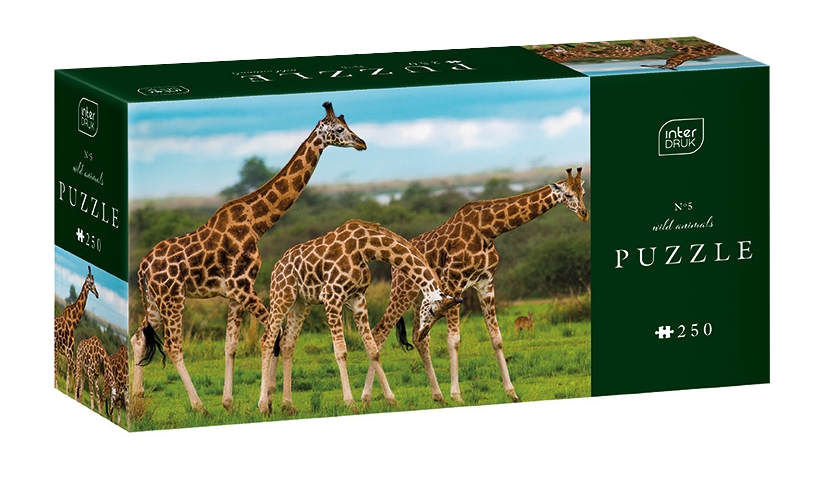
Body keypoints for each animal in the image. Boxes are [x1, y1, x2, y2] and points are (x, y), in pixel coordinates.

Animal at [55, 265, 99, 394]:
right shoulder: (66, 352)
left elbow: (69, 378)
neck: (73, 323)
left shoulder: (68, 353)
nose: (97, 294)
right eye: (92, 283)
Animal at [131, 102, 367, 413]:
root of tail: (143, 268)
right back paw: (198, 406)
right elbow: (273, 336)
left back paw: (135, 399)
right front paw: (266, 401)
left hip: (154, 301)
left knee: (139, 337)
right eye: (339, 129)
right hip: (173, 298)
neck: (257, 223)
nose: (362, 143)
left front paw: (231, 402)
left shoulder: (234, 292)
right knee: (172, 344)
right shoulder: (243, 286)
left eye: (348, 126)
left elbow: (232, 345)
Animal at [257, 220, 462, 414]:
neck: (365, 248)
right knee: (267, 340)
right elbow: (341, 351)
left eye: (440, 315)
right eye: (432, 311)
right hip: (282, 296)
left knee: (286, 343)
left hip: (300, 303)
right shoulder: (332, 296)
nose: (422, 334)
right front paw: (350, 404)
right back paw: (262, 406)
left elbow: (373, 349)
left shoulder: (358, 299)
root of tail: (276, 267)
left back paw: (287, 405)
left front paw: (391, 400)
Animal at [362, 168, 588, 404]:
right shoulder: (455, 282)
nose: (584, 213)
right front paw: (457, 395)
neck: (487, 229)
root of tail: (392, 267)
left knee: (419, 338)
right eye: (568, 195)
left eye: (583, 192)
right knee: (379, 332)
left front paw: (512, 392)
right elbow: (453, 340)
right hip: (403, 290)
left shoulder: (486, 283)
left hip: (421, 298)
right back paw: (372, 398)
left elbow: (496, 338)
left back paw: (437, 396)